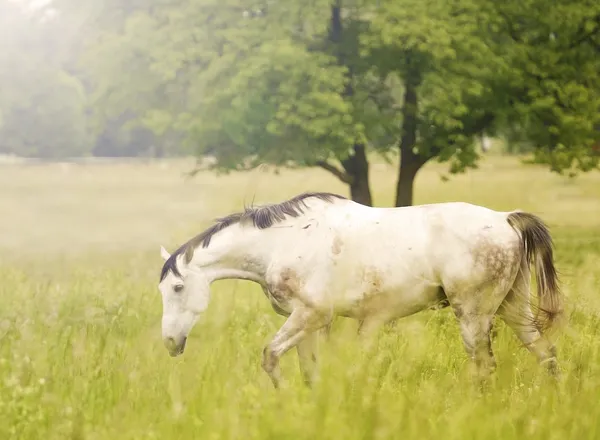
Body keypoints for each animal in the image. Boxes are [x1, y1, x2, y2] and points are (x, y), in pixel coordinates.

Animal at [158, 191, 564, 386]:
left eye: (177, 287)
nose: (169, 342)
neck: (280, 241)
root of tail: (505, 219)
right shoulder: (308, 323)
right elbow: (310, 370)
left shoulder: (310, 315)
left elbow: (271, 357)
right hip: (512, 308)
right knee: (546, 354)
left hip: (474, 317)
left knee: (484, 365)